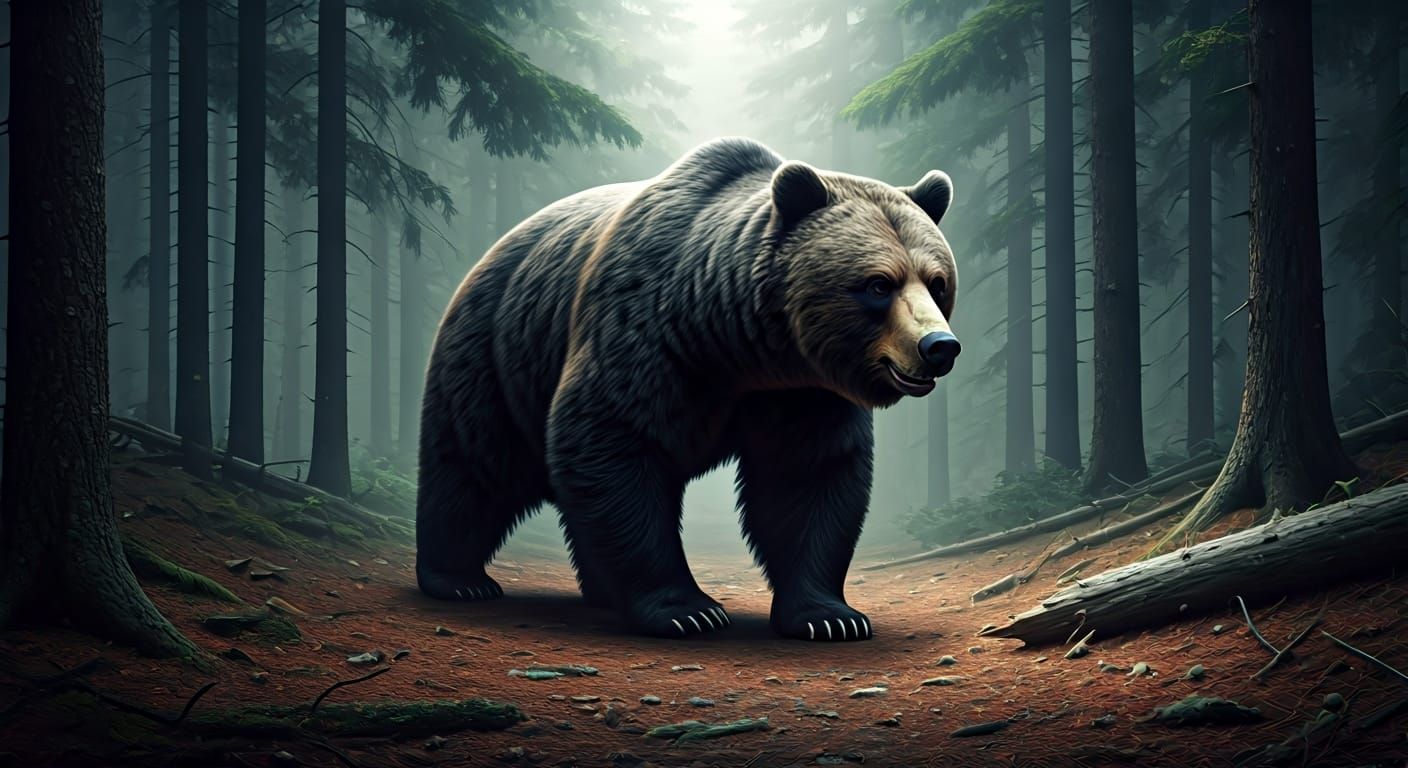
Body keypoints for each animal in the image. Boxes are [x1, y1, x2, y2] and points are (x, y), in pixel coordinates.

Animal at [416, 137, 960, 641]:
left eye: (937, 283)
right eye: (878, 284)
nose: (939, 346)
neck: (737, 344)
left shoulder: (803, 391)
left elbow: (808, 476)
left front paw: (831, 616)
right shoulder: (644, 332)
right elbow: (614, 442)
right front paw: (689, 611)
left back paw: (598, 592)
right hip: (497, 355)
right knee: (474, 466)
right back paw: (458, 579)